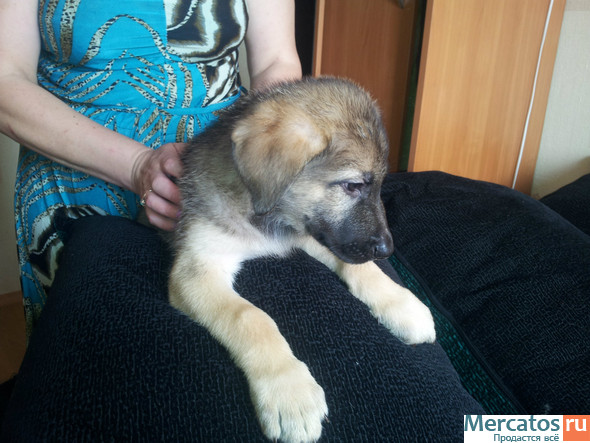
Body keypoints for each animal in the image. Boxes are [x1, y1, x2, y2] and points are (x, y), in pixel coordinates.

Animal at [169, 77, 436, 443]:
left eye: (382, 184)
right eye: (352, 185)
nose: (387, 250)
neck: (269, 219)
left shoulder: (318, 232)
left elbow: (360, 268)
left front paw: (401, 303)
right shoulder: (197, 267)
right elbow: (248, 317)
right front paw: (289, 392)